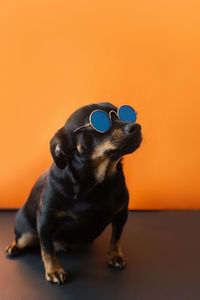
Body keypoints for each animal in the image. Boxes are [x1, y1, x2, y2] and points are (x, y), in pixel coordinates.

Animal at [5, 102, 142, 284]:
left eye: (126, 114)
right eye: (99, 122)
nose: (136, 126)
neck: (96, 183)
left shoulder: (121, 215)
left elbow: (116, 238)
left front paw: (115, 255)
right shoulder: (45, 221)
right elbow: (47, 250)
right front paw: (54, 270)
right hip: (26, 234)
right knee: (23, 239)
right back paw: (13, 246)